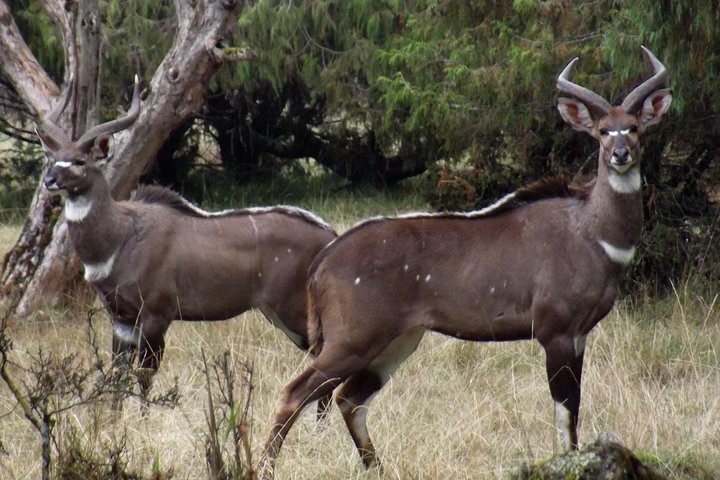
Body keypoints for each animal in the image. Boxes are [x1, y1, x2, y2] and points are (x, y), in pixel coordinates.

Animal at [38, 77, 340, 404]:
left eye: (79, 161)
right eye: (53, 158)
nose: (49, 180)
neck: (121, 237)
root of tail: (332, 238)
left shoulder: (157, 314)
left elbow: (144, 378)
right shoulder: (121, 319)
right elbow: (116, 378)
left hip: (295, 310)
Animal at [260, 47, 676, 474]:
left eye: (634, 127)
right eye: (602, 131)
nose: (621, 155)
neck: (593, 234)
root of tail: (321, 264)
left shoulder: (580, 334)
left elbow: (574, 409)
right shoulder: (555, 331)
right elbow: (565, 412)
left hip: (399, 341)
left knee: (349, 398)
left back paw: (379, 469)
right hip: (353, 339)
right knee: (295, 393)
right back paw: (266, 467)